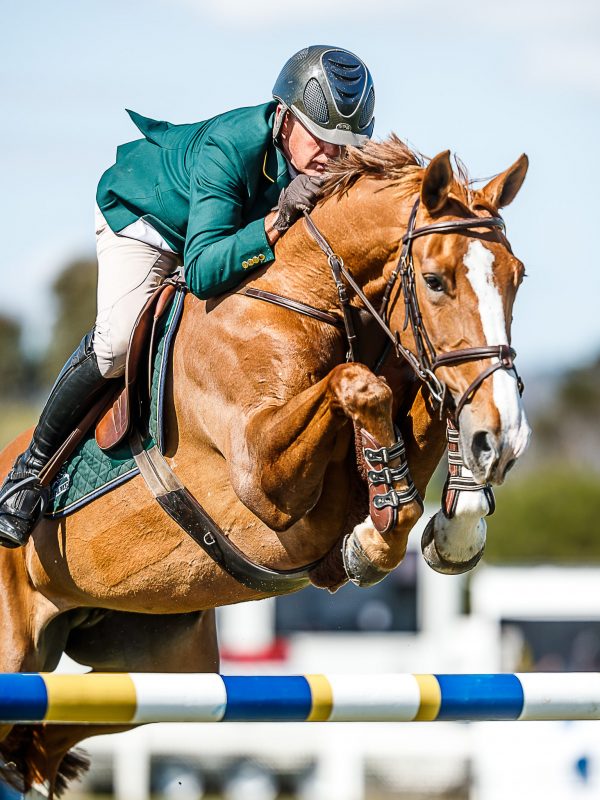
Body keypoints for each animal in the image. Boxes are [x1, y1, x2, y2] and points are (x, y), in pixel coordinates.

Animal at [0, 139, 528, 792]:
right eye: (434, 280)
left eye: (517, 278)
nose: (503, 438)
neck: (309, 296)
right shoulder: (264, 479)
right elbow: (361, 383)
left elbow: (405, 418)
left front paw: (446, 525)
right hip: (16, 643)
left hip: (170, 665)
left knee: (62, 720)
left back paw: (31, 756)